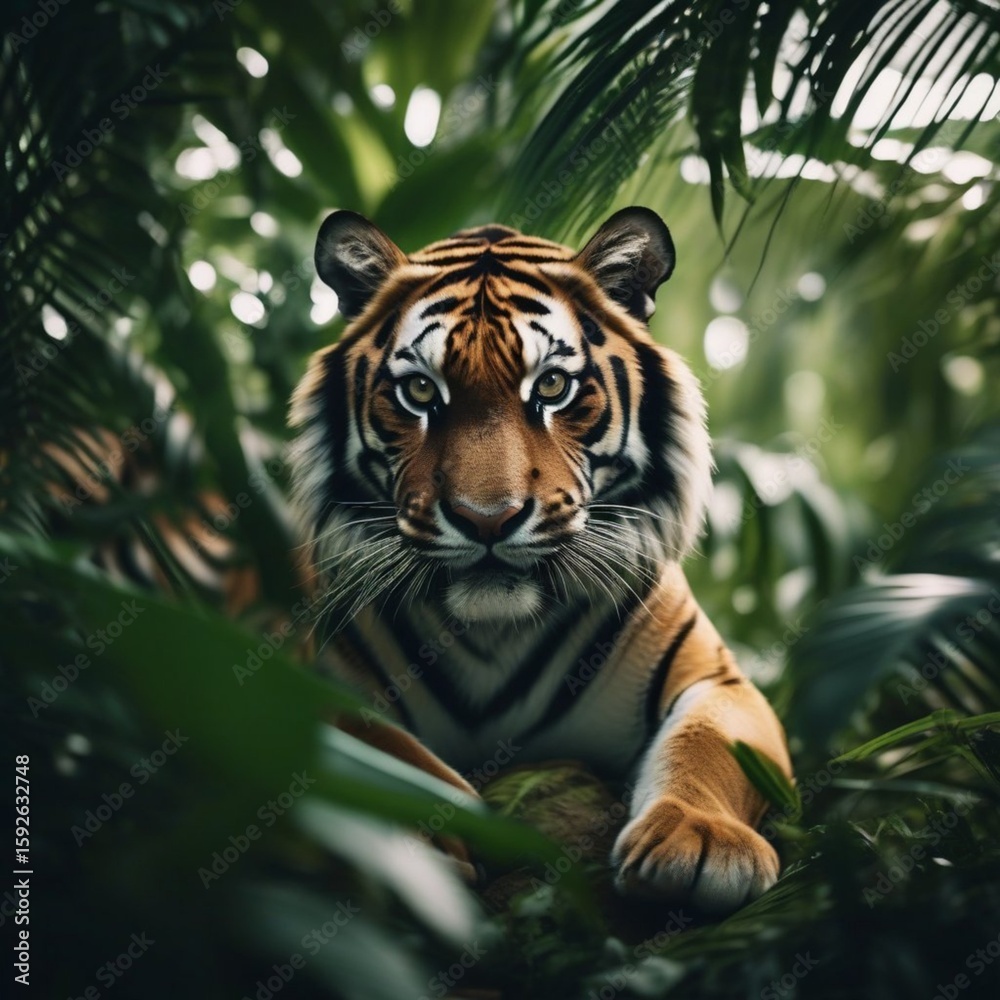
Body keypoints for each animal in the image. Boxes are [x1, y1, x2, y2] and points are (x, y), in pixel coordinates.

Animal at [289, 206, 792, 914]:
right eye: (419, 391)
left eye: (552, 385)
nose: (486, 518)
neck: (494, 634)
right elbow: (381, 748)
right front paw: (436, 832)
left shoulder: (719, 680)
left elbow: (709, 745)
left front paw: (701, 840)